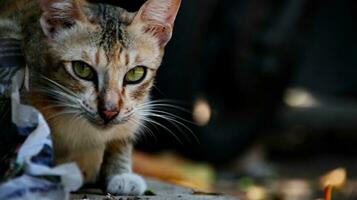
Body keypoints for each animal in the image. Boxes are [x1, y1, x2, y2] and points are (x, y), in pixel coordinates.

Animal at [0, 0, 181, 195]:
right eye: (82, 69)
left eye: (136, 73)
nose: (109, 111)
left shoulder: (137, 110)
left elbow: (123, 135)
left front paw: (120, 172)